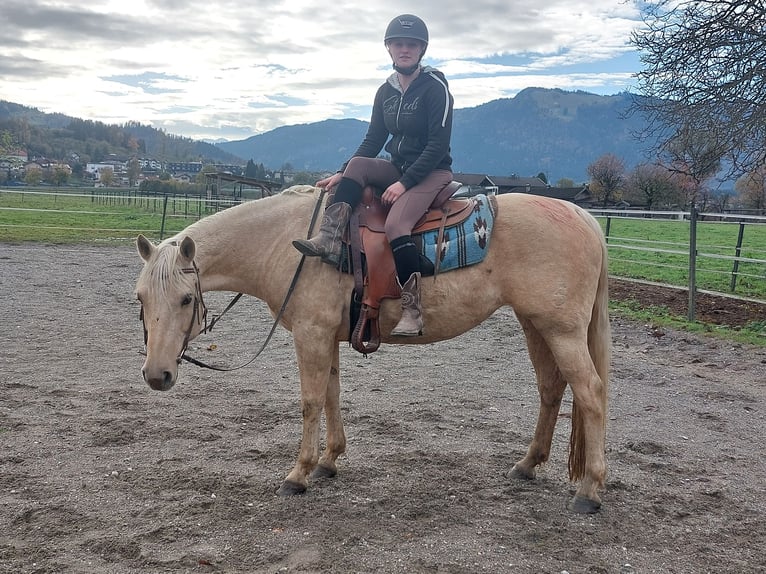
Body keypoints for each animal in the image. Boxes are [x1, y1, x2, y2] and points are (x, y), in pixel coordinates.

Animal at [134, 185, 611, 513]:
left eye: (186, 299)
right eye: (140, 297)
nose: (157, 375)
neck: (287, 243)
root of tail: (584, 218)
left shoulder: (310, 334)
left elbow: (310, 401)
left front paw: (299, 474)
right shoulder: (326, 336)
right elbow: (331, 395)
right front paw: (329, 461)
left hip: (562, 331)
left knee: (590, 393)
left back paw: (589, 491)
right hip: (536, 325)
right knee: (551, 389)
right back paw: (528, 465)